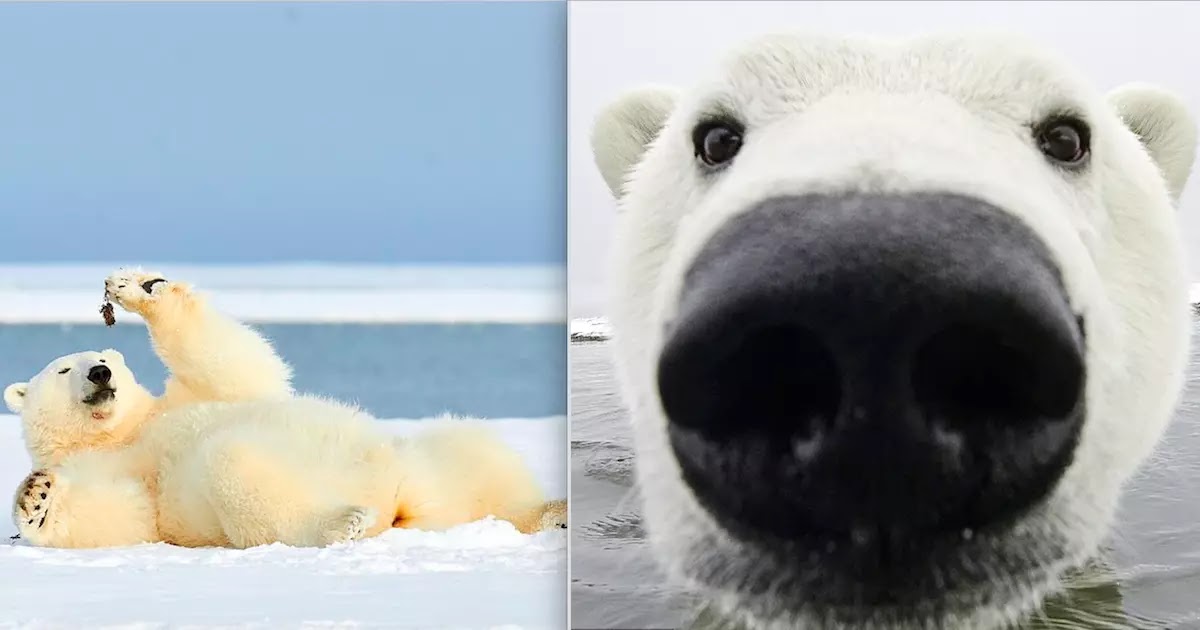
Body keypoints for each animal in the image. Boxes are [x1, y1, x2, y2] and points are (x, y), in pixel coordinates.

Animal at [9, 267, 568, 547]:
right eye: (64, 370)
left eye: (105, 359)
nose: (100, 375)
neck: (122, 433)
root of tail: (407, 509)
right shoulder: (118, 471)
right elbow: (123, 517)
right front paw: (36, 498)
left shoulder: (185, 402)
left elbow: (237, 369)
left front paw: (139, 286)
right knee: (236, 468)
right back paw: (343, 521)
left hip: (428, 457)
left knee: (478, 451)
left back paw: (551, 512)